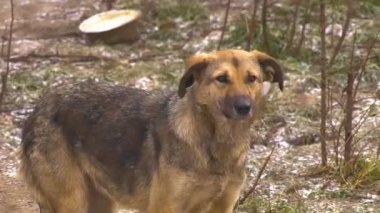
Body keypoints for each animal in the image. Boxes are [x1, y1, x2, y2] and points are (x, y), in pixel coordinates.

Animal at [20, 48, 282, 213]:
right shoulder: (166, 206)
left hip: (101, 203)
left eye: (252, 78)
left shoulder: (222, 205)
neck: (216, 145)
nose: (244, 107)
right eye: (221, 79)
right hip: (71, 201)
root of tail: (39, 106)